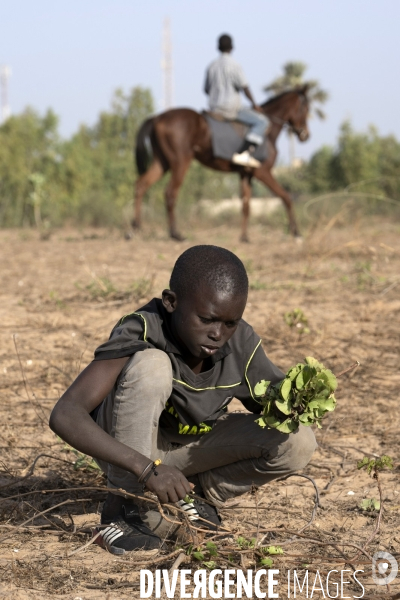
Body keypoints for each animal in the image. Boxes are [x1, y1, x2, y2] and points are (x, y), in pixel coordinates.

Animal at [131, 86, 310, 241]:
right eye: (306, 108)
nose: (305, 135)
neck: (268, 131)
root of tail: (157, 117)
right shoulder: (263, 172)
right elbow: (286, 197)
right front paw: (296, 233)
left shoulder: (246, 174)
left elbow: (246, 206)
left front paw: (244, 237)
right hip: (180, 163)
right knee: (170, 193)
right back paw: (175, 234)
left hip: (162, 163)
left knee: (141, 185)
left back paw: (135, 228)